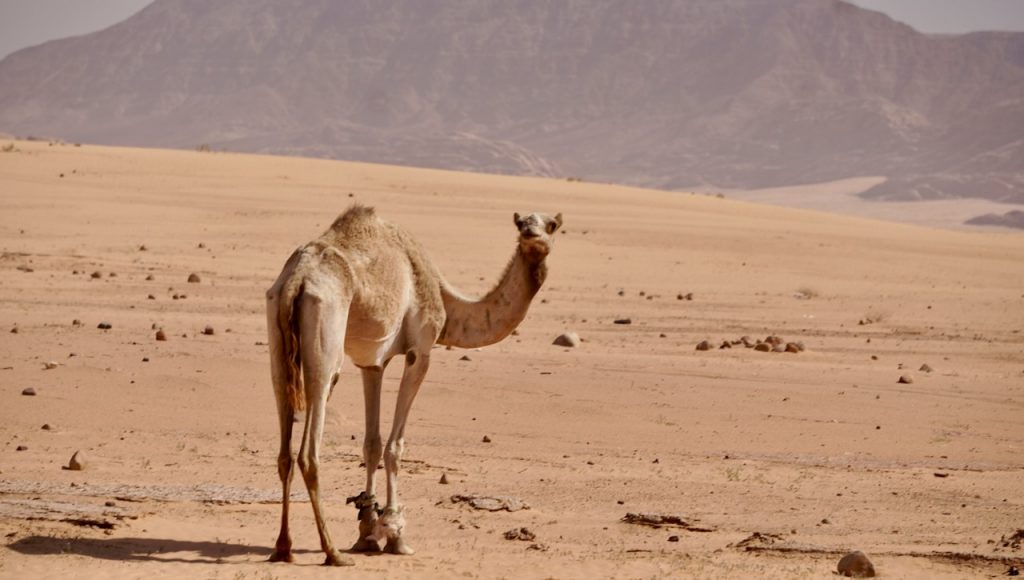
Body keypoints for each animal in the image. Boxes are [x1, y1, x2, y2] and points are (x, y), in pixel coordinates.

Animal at [264, 205, 562, 566]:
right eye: (521, 223)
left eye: (551, 225)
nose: (532, 235)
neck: (445, 300)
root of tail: (297, 279)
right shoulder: (420, 350)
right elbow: (395, 446)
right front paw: (394, 533)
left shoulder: (372, 363)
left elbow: (372, 443)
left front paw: (367, 531)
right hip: (326, 331)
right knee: (309, 450)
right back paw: (332, 552)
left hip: (277, 333)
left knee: (284, 447)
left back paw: (283, 547)